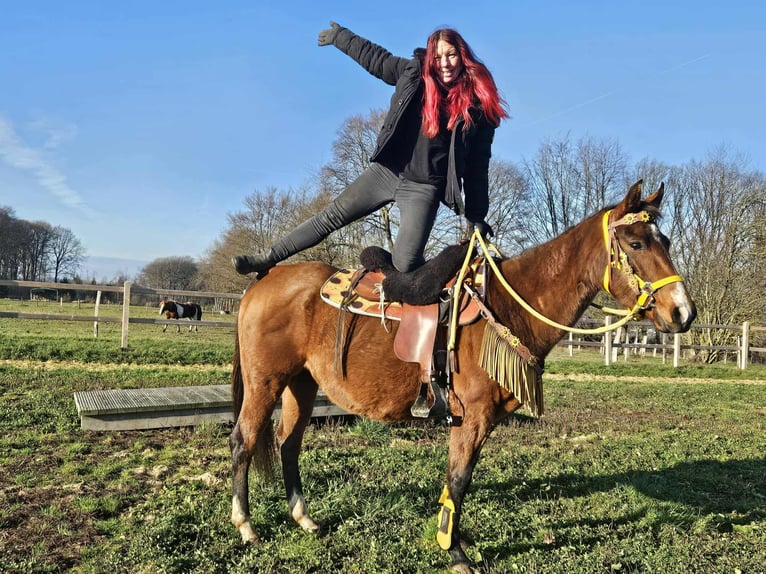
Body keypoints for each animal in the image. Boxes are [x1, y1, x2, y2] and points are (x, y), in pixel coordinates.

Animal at [228, 181, 696, 572]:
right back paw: (246, 524)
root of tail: (263, 283)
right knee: (244, 440)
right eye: (636, 243)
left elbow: (459, 481)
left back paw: (303, 518)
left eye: (667, 242)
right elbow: (459, 477)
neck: (509, 306)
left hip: (301, 384)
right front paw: (453, 551)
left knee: (288, 445)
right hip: (265, 383)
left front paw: (454, 536)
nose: (683, 313)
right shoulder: (472, 417)